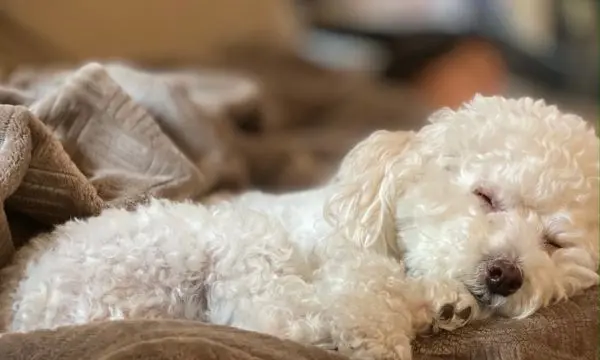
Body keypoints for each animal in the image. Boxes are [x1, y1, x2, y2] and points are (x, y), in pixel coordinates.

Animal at [0, 96, 596, 360]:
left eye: (554, 241)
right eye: (485, 196)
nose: (506, 275)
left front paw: (442, 304)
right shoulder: (346, 261)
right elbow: (362, 292)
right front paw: (384, 331)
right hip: (220, 242)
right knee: (279, 322)